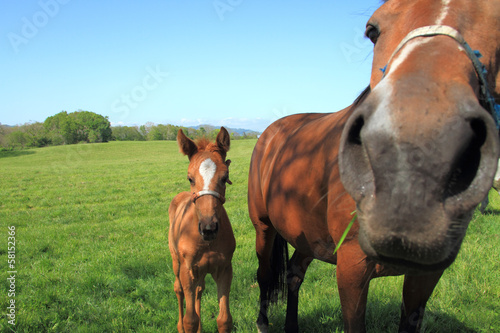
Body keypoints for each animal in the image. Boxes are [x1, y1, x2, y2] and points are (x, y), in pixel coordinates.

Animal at [169, 126, 235, 330]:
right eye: (190, 178)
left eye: (225, 177)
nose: (209, 228)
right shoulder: (187, 271)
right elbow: (190, 320)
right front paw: (187, 326)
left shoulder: (224, 270)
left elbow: (224, 319)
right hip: (176, 261)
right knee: (178, 289)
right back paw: (179, 326)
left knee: (199, 290)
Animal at [249, 1, 500, 330]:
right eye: (372, 31)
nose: (412, 163)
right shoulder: (352, 268)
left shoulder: (426, 274)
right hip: (264, 228)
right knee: (265, 275)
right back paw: (263, 322)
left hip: (306, 238)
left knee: (294, 274)